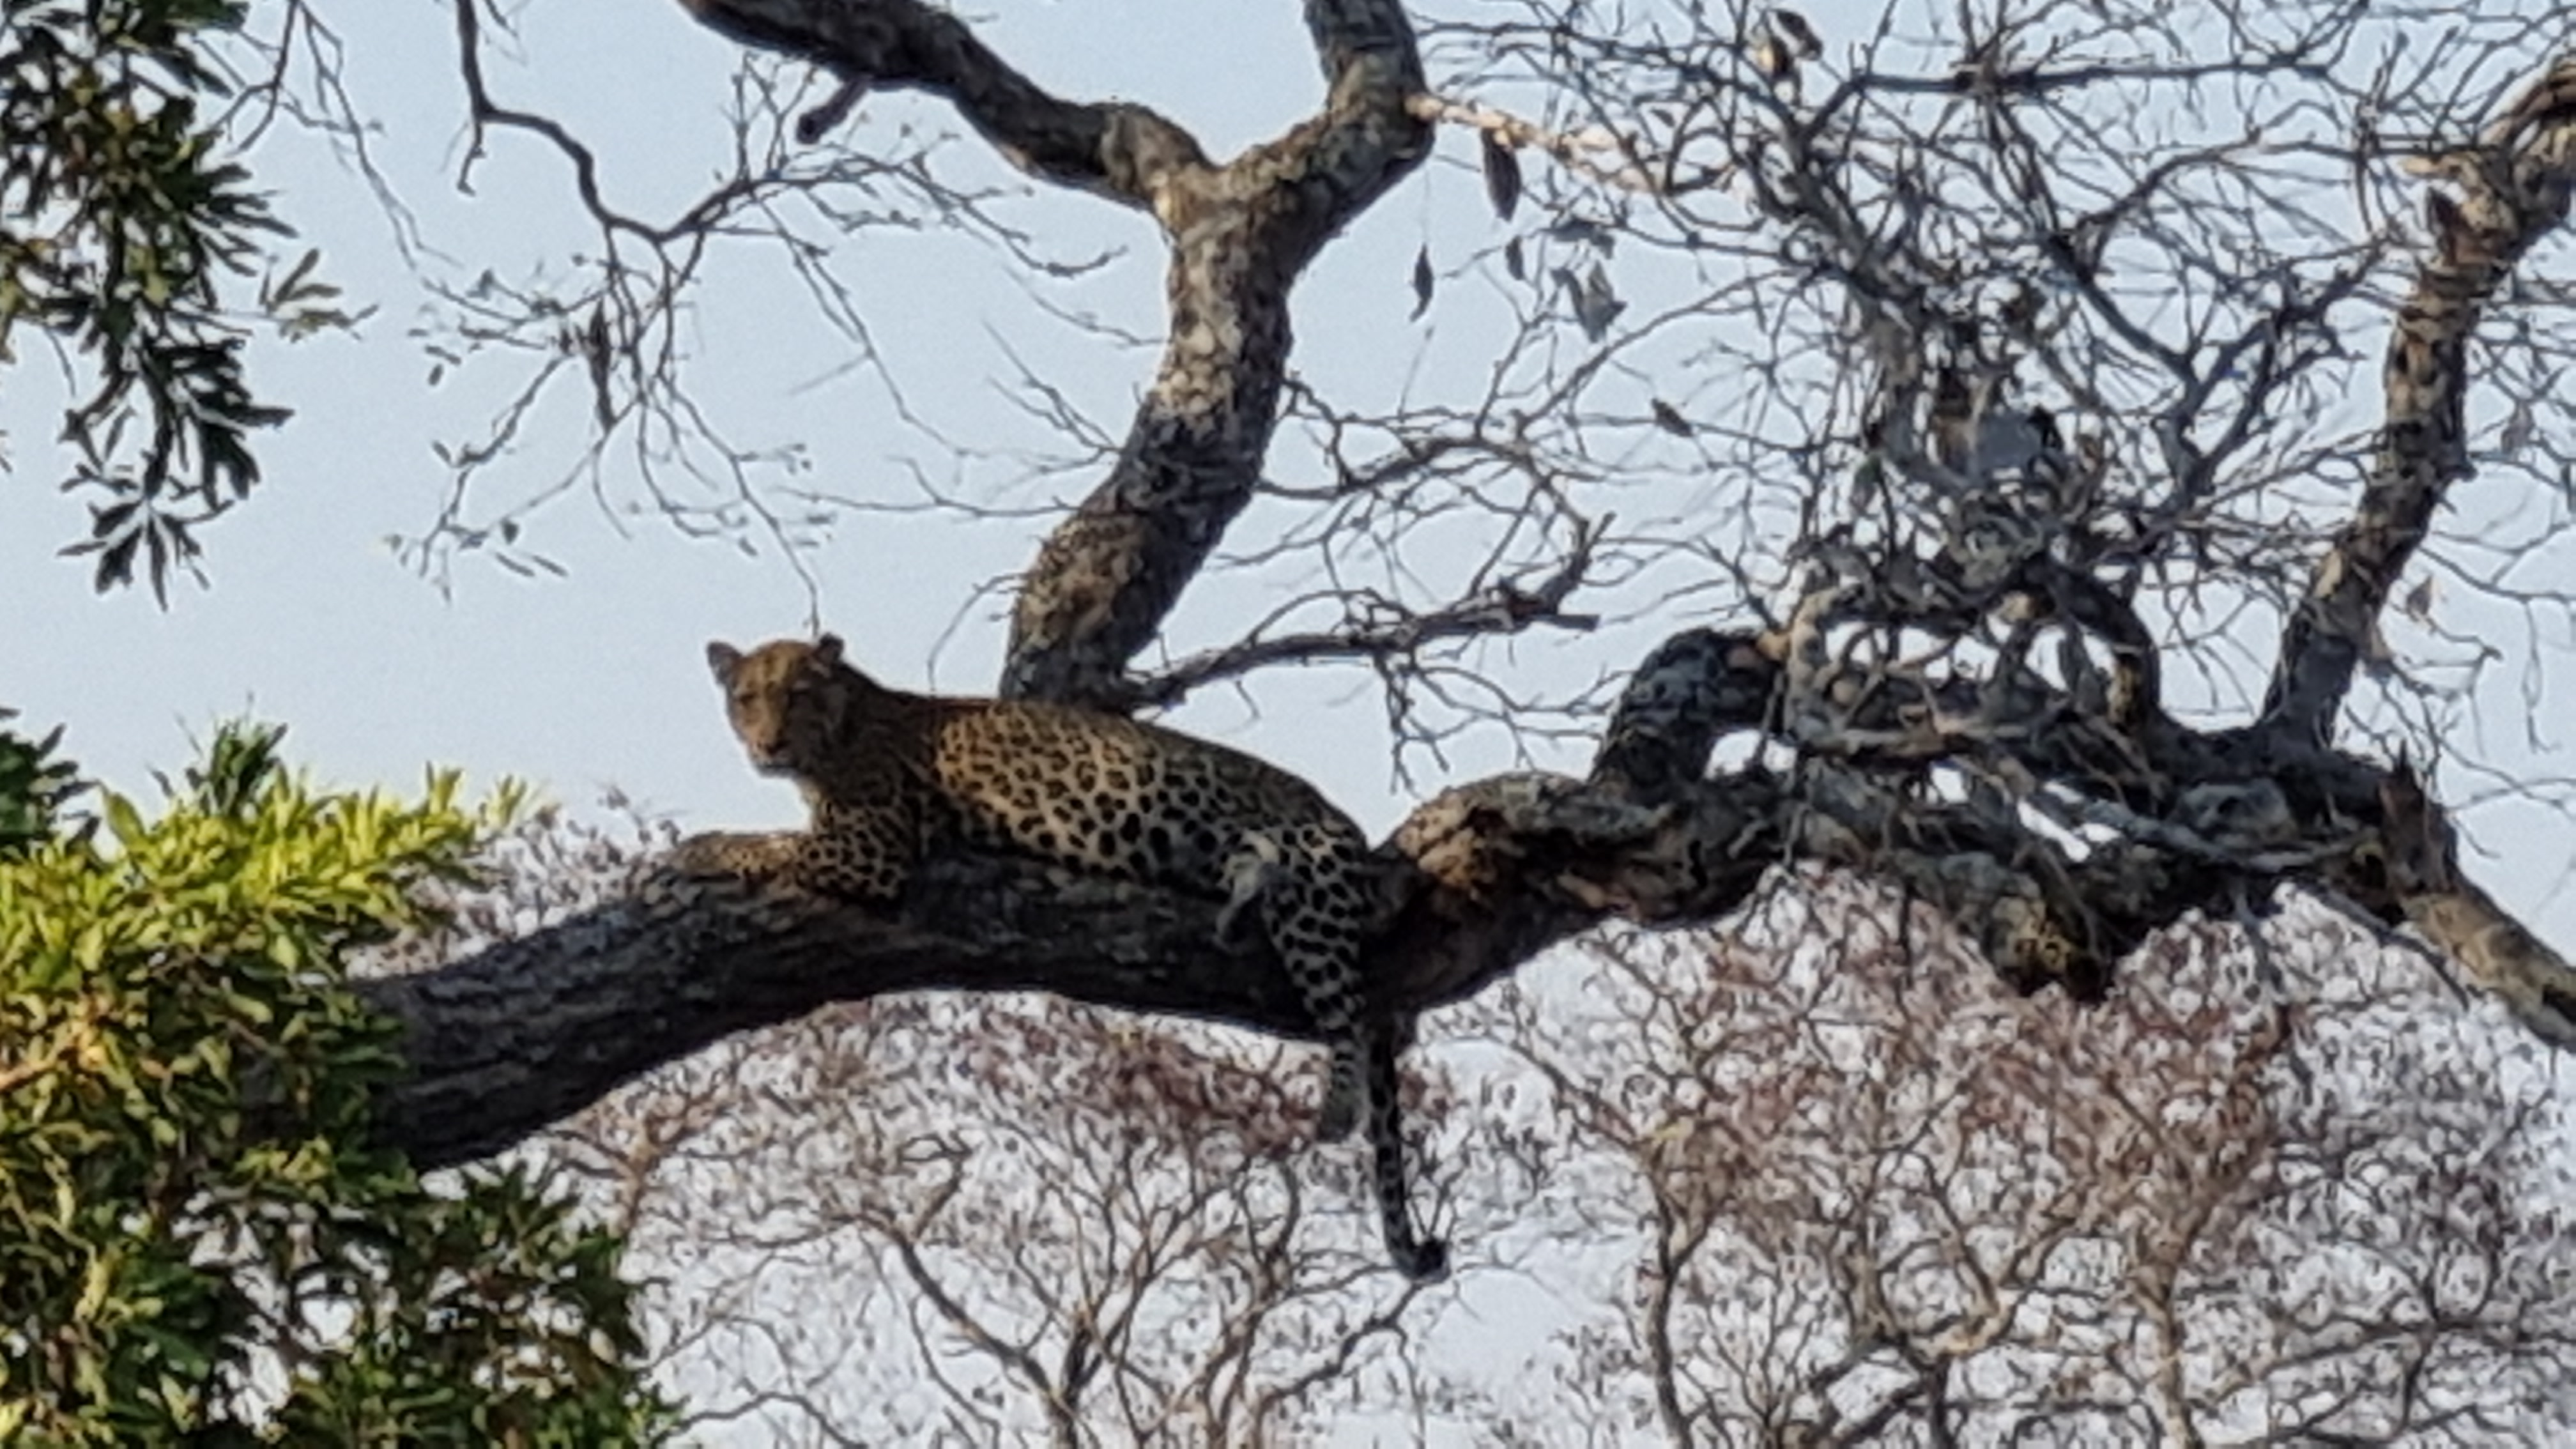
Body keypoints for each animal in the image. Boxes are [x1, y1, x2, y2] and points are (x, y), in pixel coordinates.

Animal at [699, 633, 1446, 1281]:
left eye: (797, 695)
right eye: (747, 698)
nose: (767, 744)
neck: (843, 729)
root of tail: (1349, 831)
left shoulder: (871, 847)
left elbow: (776, 843)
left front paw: (705, 847)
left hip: (1314, 885)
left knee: (1352, 1011)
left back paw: (1338, 1106)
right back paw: (1244, 899)